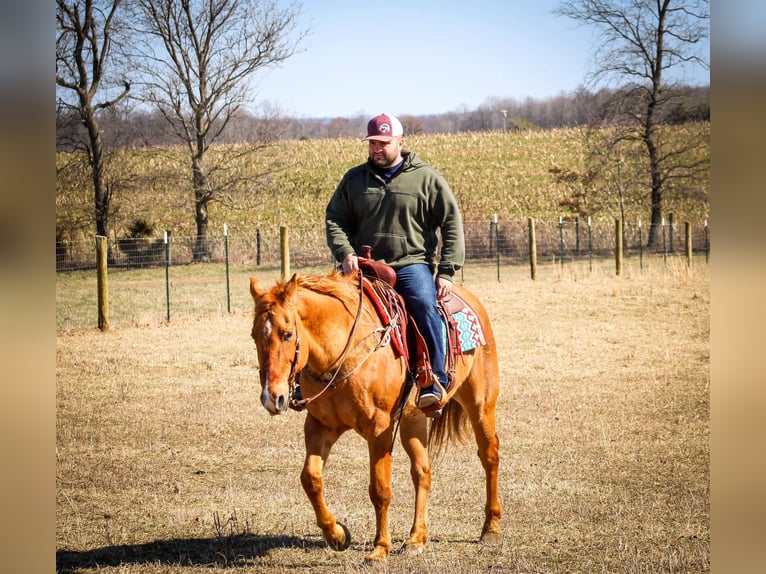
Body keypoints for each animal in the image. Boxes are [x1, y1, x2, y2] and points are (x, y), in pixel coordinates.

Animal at [250, 272, 504, 564]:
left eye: (288, 334)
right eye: (254, 335)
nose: (272, 398)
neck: (342, 354)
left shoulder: (379, 429)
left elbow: (380, 490)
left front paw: (380, 548)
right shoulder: (320, 426)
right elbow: (310, 479)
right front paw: (337, 535)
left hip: (480, 404)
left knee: (489, 455)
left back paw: (491, 528)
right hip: (413, 420)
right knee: (422, 471)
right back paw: (416, 538)